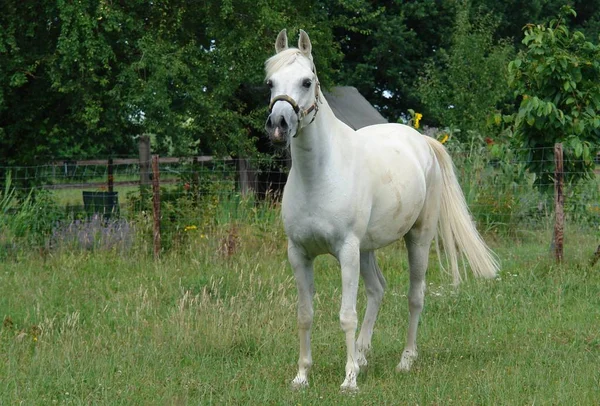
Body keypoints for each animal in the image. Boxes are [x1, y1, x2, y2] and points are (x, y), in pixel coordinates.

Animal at [264, 28, 500, 390]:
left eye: (306, 81)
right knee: (377, 290)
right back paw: (362, 355)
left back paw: (405, 360)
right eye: (270, 83)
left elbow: (346, 315)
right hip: (367, 249)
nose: (278, 124)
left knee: (415, 296)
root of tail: (422, 141)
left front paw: (349, 380)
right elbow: (305, 315)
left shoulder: (346, 251)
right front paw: (302, 376)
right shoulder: (299, 254)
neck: (319, 175)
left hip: (417, 239)